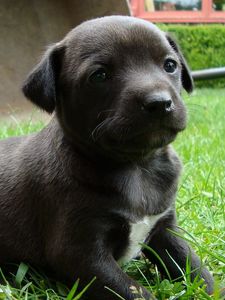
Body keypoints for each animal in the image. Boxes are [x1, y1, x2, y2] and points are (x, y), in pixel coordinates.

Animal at [0, 17, 214, 300]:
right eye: (99, 76)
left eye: (170, 65)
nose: (159, 103)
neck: (138, 167)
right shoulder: (82, 253)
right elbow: (134, 292)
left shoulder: (165, 229)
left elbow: (196, 268)